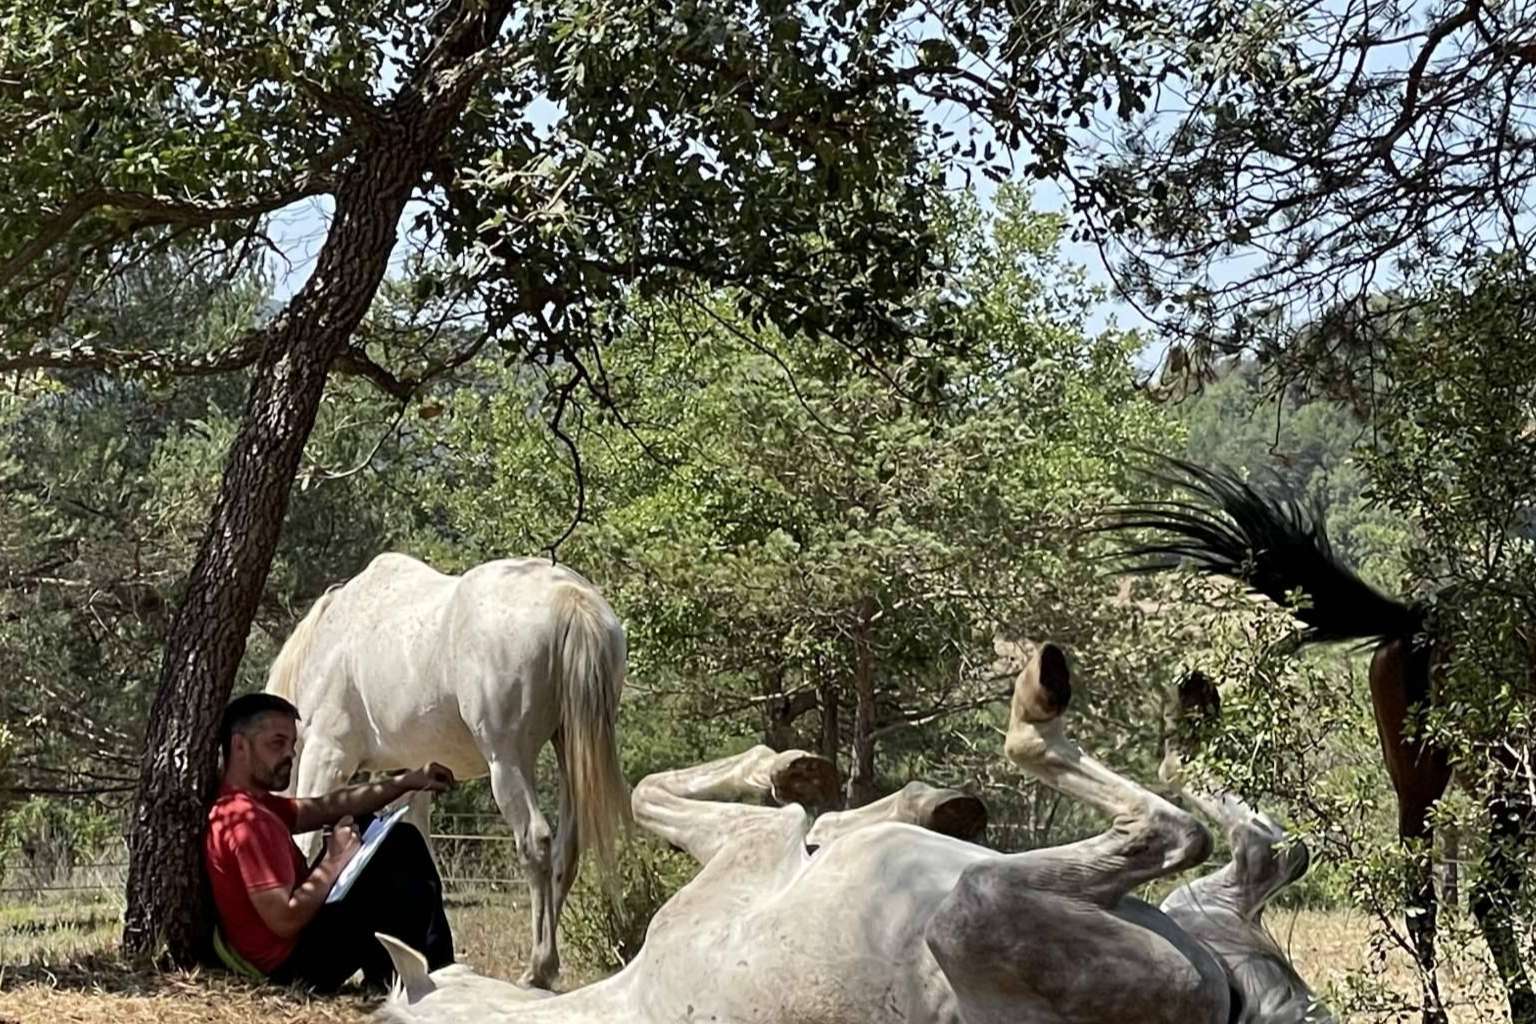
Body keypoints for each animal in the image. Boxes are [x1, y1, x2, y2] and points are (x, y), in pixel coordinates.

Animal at [265, 553, 630, 989]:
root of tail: (569, 597)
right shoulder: (408, 774)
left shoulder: (328, 753)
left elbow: (305, 843)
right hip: (567, 750)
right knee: (565, 851)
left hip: (507, 761)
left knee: (536, 842)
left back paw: (538, 968)